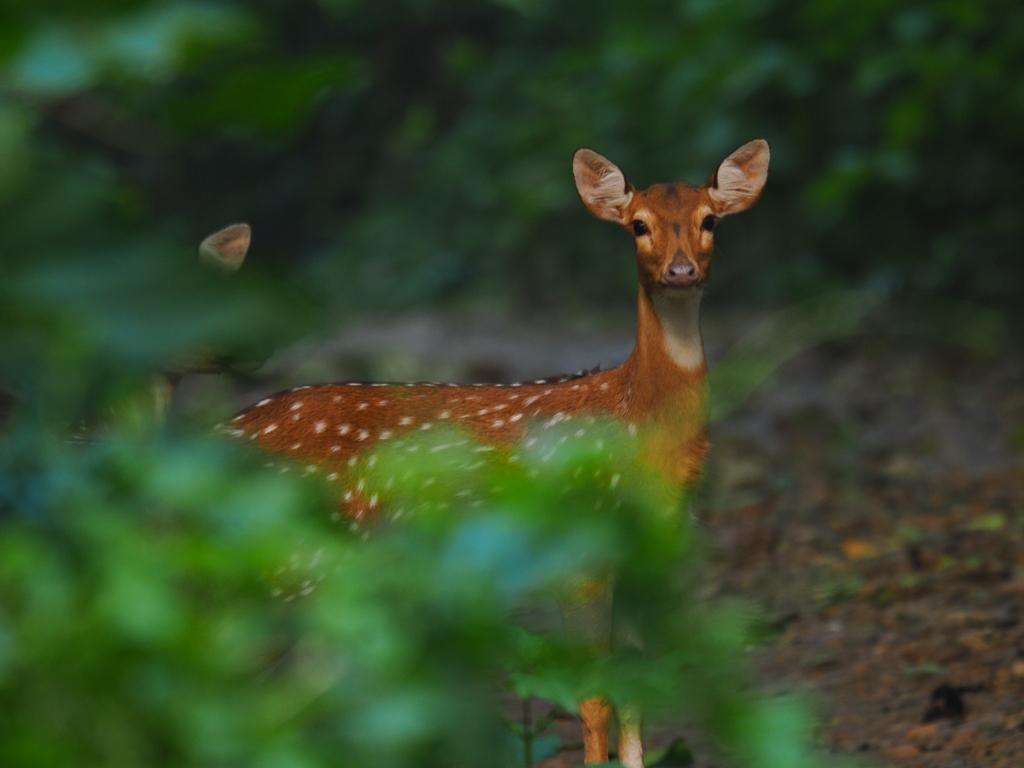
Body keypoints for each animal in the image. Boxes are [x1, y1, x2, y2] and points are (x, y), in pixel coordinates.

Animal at [220, 139, 770, 768]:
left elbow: (638, 691)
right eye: (638, 224)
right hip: (290, 568)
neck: (640, 426)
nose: (681, 271)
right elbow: (592, 696)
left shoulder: (649, 560)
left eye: (710, 220)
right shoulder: (578, 554)